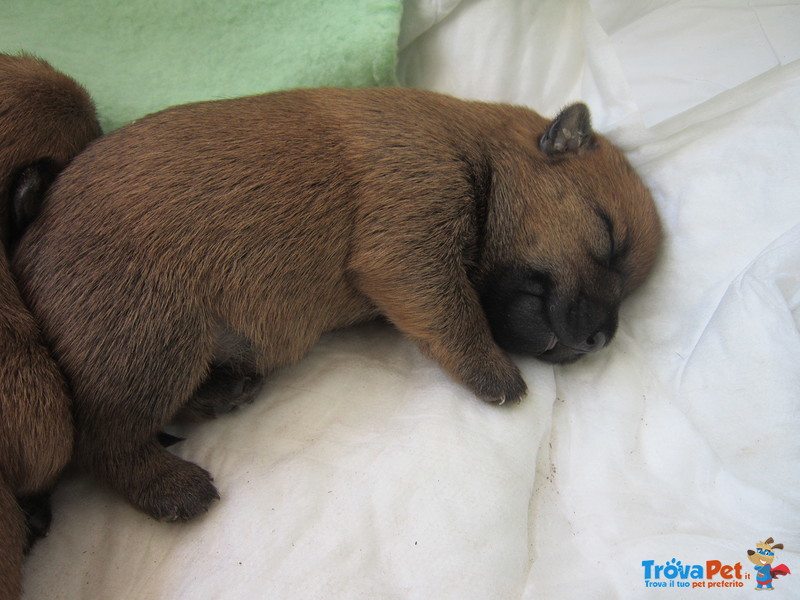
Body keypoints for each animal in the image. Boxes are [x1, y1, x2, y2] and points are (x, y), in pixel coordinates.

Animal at [14, 86, 664, 524]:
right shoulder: (408, 242)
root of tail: (24, 251)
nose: (600, 339)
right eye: (609, 237)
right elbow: (456, 314)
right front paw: (496, 376)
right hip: (149, 340)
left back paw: (223, 393)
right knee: (102, 439)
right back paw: (174, 487)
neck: (475, 148)